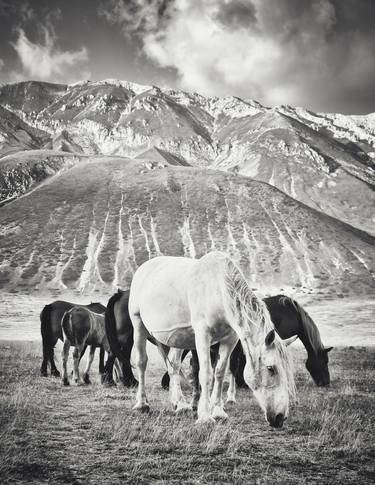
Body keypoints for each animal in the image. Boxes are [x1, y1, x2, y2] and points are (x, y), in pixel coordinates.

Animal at [129, 251, 296, 426]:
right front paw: (205, 416)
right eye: (271, 368)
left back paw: (180, 404)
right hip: (138, 324)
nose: (280, 417)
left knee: (173, 366)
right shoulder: (203, 334)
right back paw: (142, 404)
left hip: (177, 339)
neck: (219, 290)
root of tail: (143, 268)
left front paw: (218, 411)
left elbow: (220, 373)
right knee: (142, 362)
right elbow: (206, 374)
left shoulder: (230, 338)